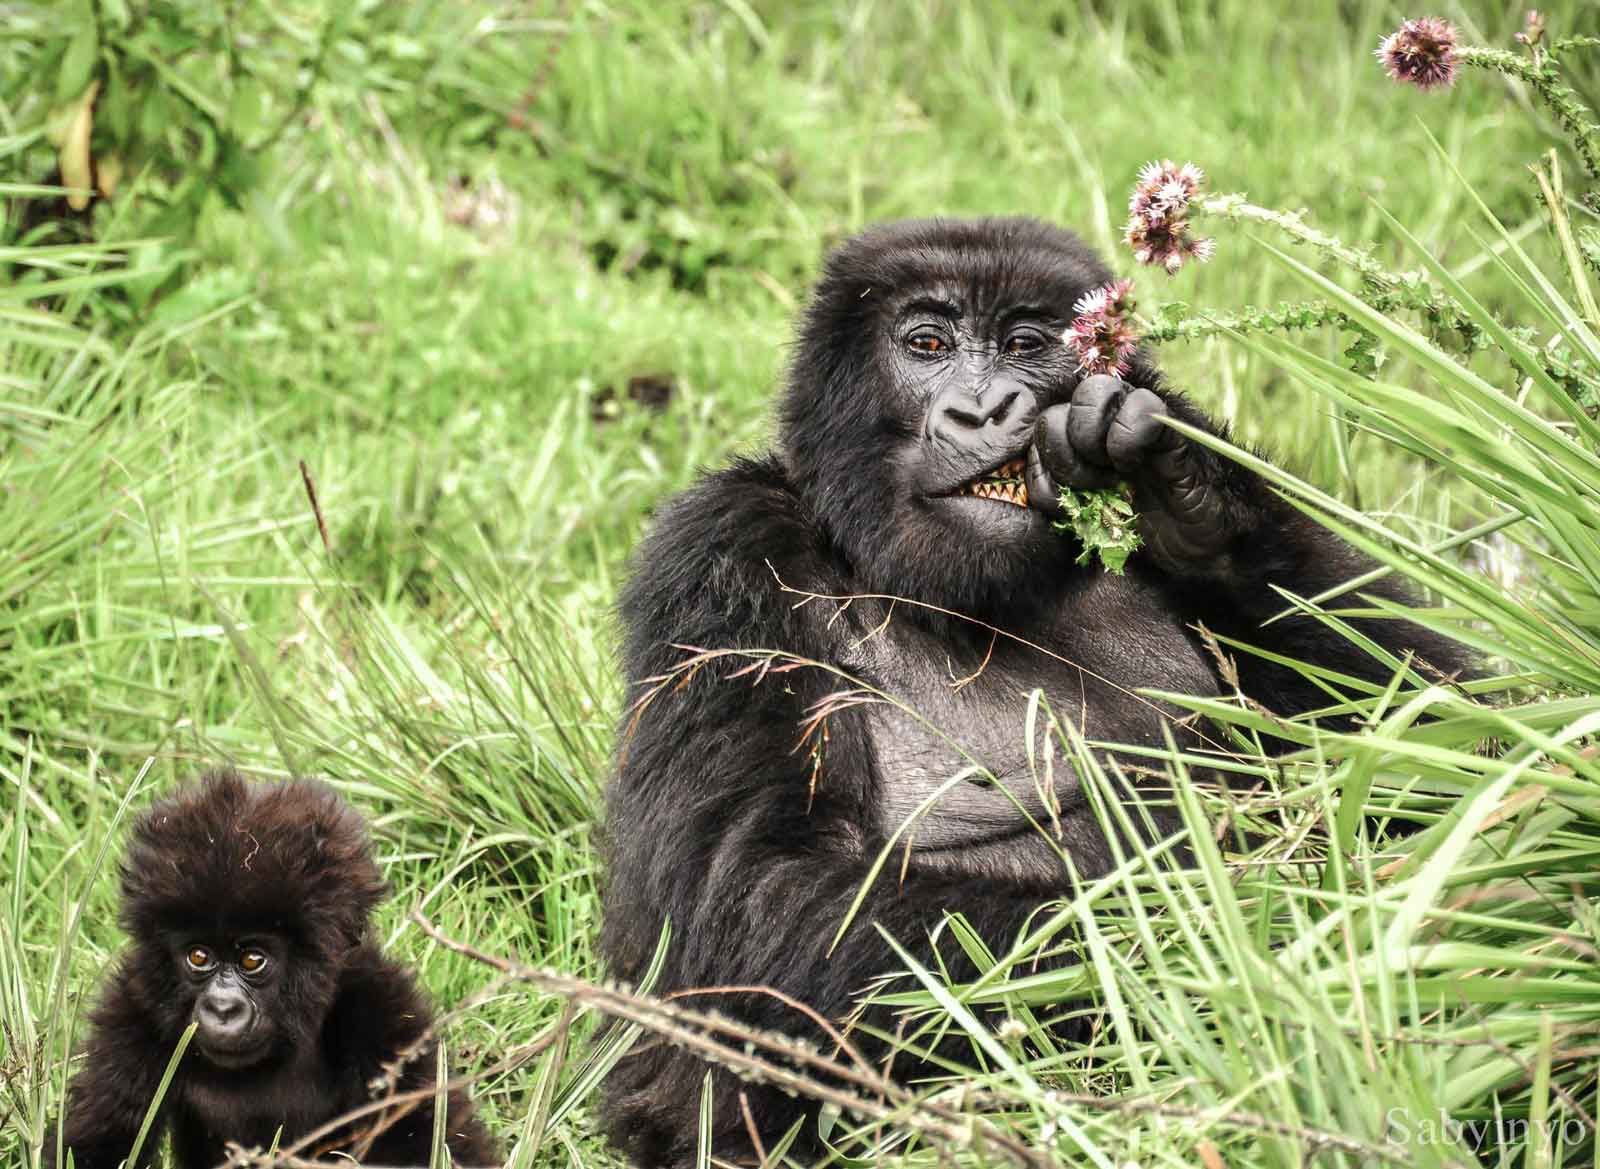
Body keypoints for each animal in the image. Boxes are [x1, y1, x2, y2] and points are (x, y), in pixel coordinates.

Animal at [48, 774, 492, 1164]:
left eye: (252, 960)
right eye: (198, 957)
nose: (222, 1009)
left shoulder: (383, 1010)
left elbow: (426, 1138)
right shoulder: (132, 1012)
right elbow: (98, 1143)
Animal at [601, 217, 1465, 1164]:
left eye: (1025, 344)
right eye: (928, 345)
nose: (983, 411)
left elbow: (1441, 712)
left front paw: (1190, 493)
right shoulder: (723, 552)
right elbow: (755, 899)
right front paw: (1251, 936)